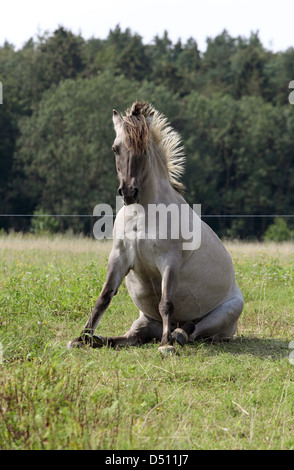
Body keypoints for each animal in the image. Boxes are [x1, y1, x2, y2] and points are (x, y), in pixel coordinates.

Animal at [68, 102, 243, 352]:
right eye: (115, 149)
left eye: (143, 151)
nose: (129, 192)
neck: (141, 216)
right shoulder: (119, 257)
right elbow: (104, 297)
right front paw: (80, 338)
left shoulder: (169, 261)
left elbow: (166, 303)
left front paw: (165, 346)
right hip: (144, 321)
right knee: (132, 337)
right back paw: (100, 339)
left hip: (226, 313)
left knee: (194, 329)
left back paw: (176, 335)